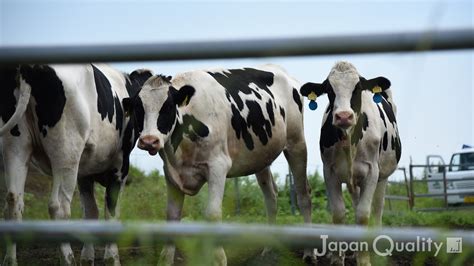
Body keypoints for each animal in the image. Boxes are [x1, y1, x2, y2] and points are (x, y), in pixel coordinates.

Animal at [0, 64, 152, 266]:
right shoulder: (120, 166)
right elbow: (111, 212)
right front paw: (112, 258)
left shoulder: (85, 173)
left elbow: (91, 212)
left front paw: (88, 257)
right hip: (66, 152)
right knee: (59, 207)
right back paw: (68, 259)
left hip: (15, 147)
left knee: (13, 202)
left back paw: (10, 260)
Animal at [122, 65, 314, 266]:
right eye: (138, 108)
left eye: (167, 107)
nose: (149, 141)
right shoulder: (172, 173)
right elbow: (172, 217)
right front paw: (165, 260)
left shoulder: (218, 166)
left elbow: (213, 215)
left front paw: (219, 259)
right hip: (262, 156)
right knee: (271, 197)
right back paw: (268, 250)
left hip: (296, 144)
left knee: (303, 195)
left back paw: (309, 252)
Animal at [300, 60, 400, 266]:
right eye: (329, 89)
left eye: (358, 87)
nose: (344, 116)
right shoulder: (329, 172)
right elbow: (339, 213)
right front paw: (338, 258)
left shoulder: (372, 172)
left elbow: (363, 214)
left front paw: (365, 260)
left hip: (383, 176)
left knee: (377, 209)